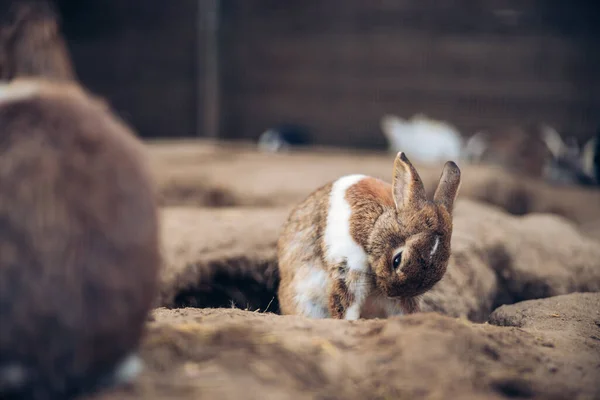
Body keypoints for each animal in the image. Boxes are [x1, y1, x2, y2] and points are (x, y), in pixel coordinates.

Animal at [276, 152, 460, 320]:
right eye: (397, 260)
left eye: (441, 271)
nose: (392, 293)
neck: (376, 225)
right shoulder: (349, 266)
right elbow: (346, 302)